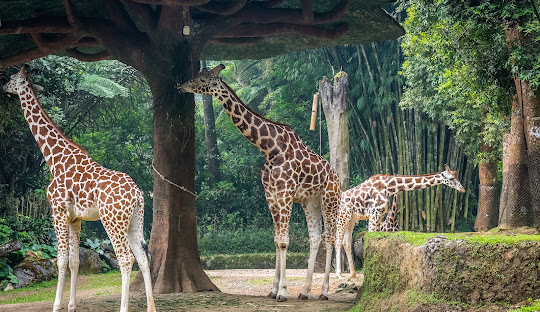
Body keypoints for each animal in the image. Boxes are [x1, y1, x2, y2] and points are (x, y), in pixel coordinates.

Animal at [2, 64, 156, 310]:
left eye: (13, 78)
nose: (3, 86)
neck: (54, 159)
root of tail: (138, 194)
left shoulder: (58, 211)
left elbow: (61, 260)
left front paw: (56, 306)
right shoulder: (75, 218)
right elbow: (75, 261)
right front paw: (71, 306)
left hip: (112, 221)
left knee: (125, 258)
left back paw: (123, 307)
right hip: (135, 220)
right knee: (142, 257)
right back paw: (151, 307)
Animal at [178, 64, 342, 302]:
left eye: (203, 79)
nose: (180, 86)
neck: (269, 149)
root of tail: (337, 177)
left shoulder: (285, 194)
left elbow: (283, 241)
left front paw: (282, 292)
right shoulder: (271, 196)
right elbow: (276, 240)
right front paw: (273, 290)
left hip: (330, 200)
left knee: (330, 237)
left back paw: (323, 292)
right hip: (311, 202)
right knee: (315, 238)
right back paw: (304, 291)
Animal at [334, 165, 464, 280]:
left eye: (457, 176)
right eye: (451, 178)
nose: (462, 189)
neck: (388, 187)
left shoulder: (379, 216)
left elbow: (374, 240)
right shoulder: (373, 214)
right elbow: (368, 241)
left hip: (351, 219)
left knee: (346, 242)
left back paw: (353, 274)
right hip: (342, 216)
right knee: (338, 241)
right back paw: (339, 275)